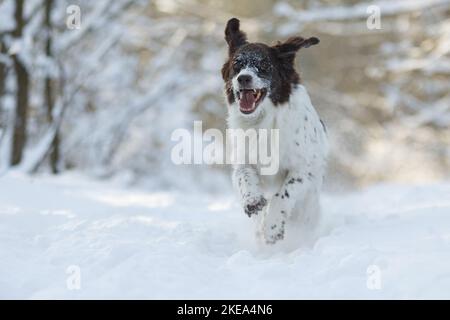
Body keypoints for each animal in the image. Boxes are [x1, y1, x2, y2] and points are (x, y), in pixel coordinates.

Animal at [221, 18, 326, 245]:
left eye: (264, 65)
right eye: (237, 64)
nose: (243, 78)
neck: (262, 121)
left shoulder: (303, 168)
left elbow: (283, 193)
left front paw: (272, 227)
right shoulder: (243, 159)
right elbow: (244, 176)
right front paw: (253, 200)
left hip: (308, 207)